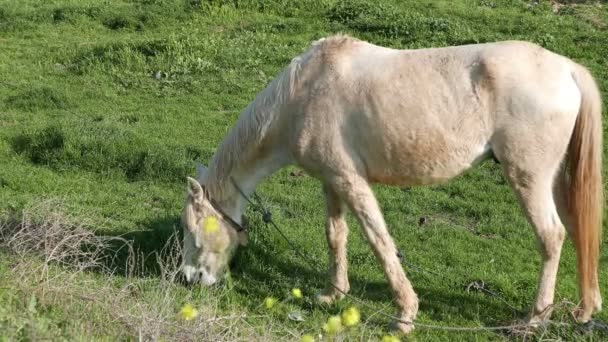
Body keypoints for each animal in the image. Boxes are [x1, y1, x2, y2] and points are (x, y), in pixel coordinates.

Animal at [182, 35, 604, 334]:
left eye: (192, 230)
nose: (189, 278)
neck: (302, 93)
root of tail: (566, 69)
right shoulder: (331, 181)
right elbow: (335, 235)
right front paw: (333, 294)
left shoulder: (351, 181)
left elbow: (379, 241)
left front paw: (404, 315)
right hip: (557, 181)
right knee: (579, 232)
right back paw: (585, 310)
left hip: (528, 179)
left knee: (551, 237)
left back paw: (535, 318)